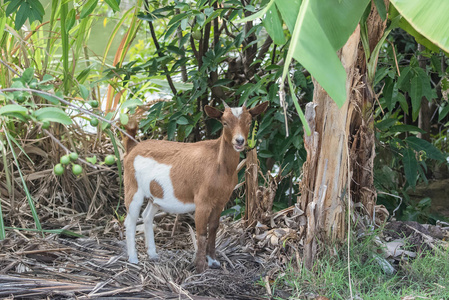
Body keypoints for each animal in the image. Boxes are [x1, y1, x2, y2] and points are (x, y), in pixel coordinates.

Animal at [123, 100, 266, 272]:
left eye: (249, 122)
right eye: (224, 123)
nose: (239, 141)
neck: (219, 164)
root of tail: (132, 148)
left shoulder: (220, 201)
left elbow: (213, 228)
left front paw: (213, 261)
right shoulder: (202, 201)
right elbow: (201, 232)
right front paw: (200, 266)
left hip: (155, 195)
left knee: (147, 216)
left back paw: (153, 254)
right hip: (133, 187)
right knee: (130, 220)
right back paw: (133, 259)